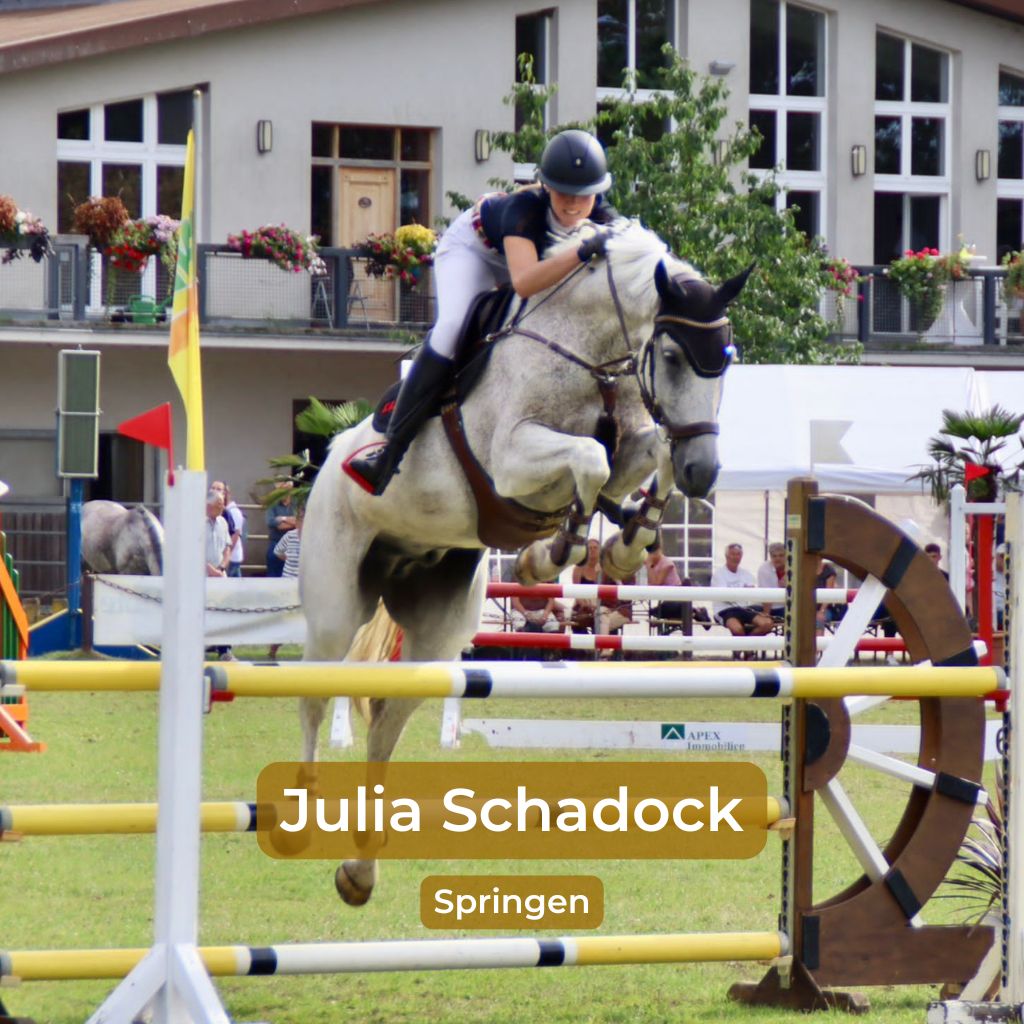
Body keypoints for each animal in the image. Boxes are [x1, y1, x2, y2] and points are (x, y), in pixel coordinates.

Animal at [299, 219, 749, 903]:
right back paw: (298, 815)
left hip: (439, 627)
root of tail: (327, 459)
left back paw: (359, 869)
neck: (590, 353)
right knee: (314, 693)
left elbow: (641, 457)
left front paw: (621, 542)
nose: (707, 472)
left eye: (725, 361)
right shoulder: (512, 461)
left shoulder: (634, 441)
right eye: (672, 357)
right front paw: (553, 552)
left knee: (389, 716)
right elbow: (591, 458)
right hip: (334, 603)